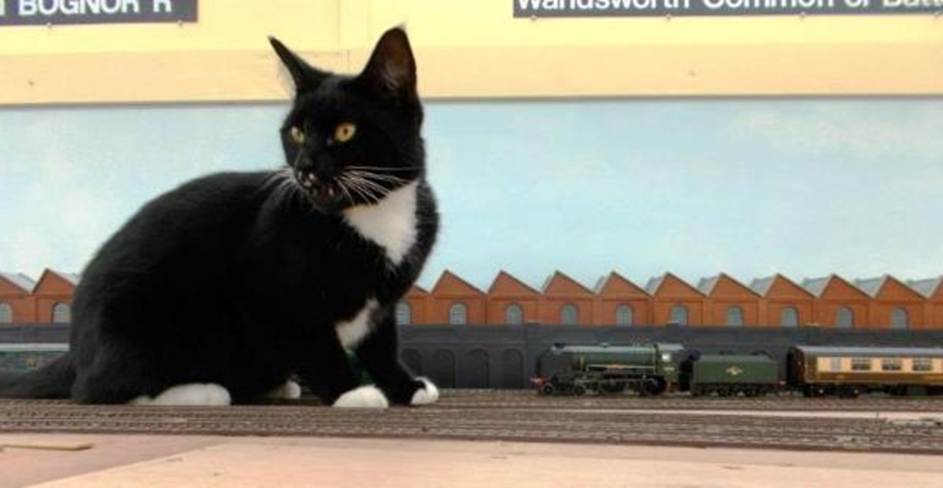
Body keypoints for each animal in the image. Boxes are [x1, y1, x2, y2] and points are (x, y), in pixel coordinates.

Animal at [0, 27, 440, 408]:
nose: (305, 167)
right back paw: (204, 391)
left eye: (345, 131)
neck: (372, 214)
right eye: (296, 133)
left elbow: (382, 344)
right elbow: (316, 342)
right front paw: (350, 392)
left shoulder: (383, 300)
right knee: (96, 389)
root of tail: (77, 350)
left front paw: (405, 386)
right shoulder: (272, 292)